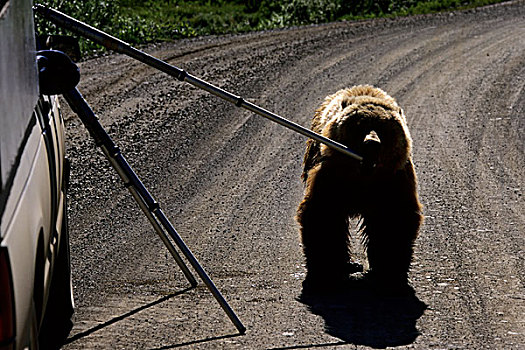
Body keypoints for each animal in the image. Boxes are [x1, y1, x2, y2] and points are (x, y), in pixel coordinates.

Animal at [294, 85, 422, 292]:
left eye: (383, 128)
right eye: (360, 125)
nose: (372, 143)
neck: (363, 175)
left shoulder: (393, 180)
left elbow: (393, 220)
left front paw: (389, 272)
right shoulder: (331, 176)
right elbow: (324, 215)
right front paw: (326, 271)